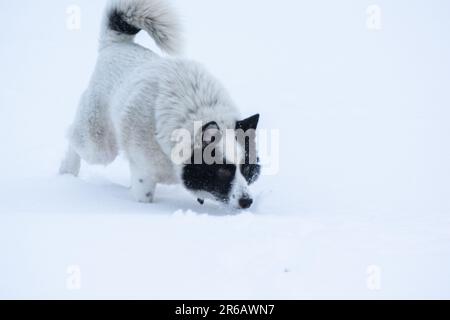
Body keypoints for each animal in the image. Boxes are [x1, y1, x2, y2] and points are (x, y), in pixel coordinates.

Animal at [61, 0, 262, 210]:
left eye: (247, 168)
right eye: (223, 171)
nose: (247, 201)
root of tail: (116, 43)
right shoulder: (143, 173)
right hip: (99, 144)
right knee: (73, 138)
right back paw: (67, 171)